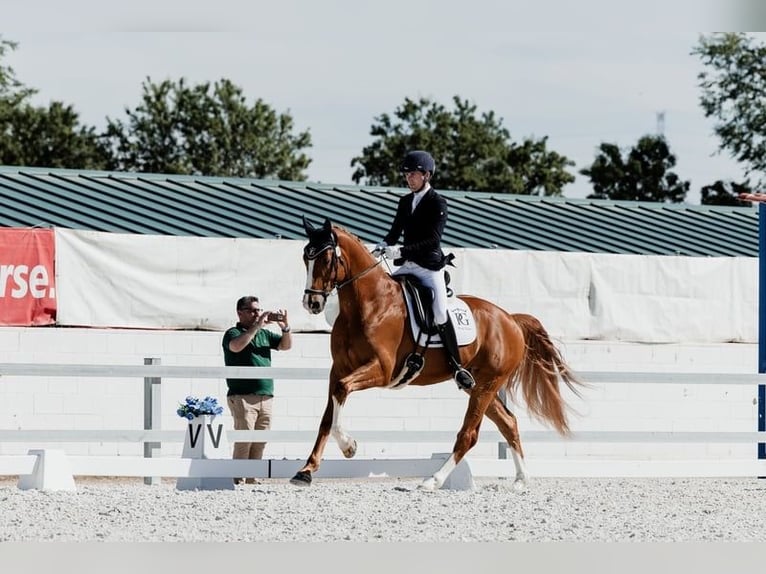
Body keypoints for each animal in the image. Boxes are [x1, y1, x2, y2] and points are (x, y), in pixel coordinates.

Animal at [292, 218, 584, 492]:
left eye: (326, 258)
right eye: (306, 257)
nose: (312, 303)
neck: (368, 305)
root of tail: (510, 319)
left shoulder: (381, 370)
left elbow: (342, 392)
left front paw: (349, 446)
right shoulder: (338, 369)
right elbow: (327, 416)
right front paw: (306, 471)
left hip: (488, 384)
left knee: (469, 434)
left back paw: (433, 480)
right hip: (479, 385)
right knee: (508, 423)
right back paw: (521, 480)